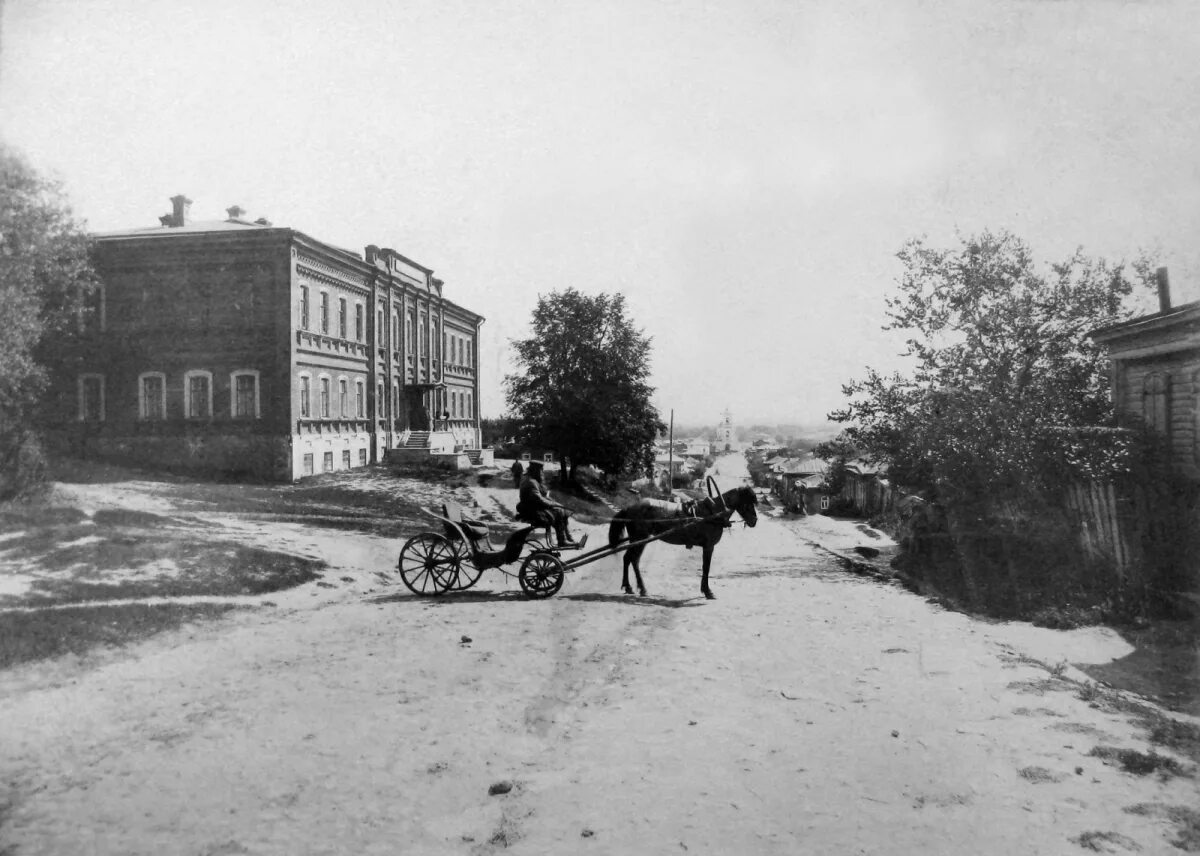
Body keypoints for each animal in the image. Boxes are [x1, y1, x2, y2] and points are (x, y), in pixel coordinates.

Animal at [609, 485, 758, 597]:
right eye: (748, 502)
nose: (754, 521)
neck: (713, 512)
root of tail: (628, 508)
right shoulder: (709, 546)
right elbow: (706, 567)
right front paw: (707, 591)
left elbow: (705, 567)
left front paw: (705, 590)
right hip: (640, 538)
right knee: (633, 560)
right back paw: (641, 588)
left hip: (637, 539)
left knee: (628, 559)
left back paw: (629, 587)